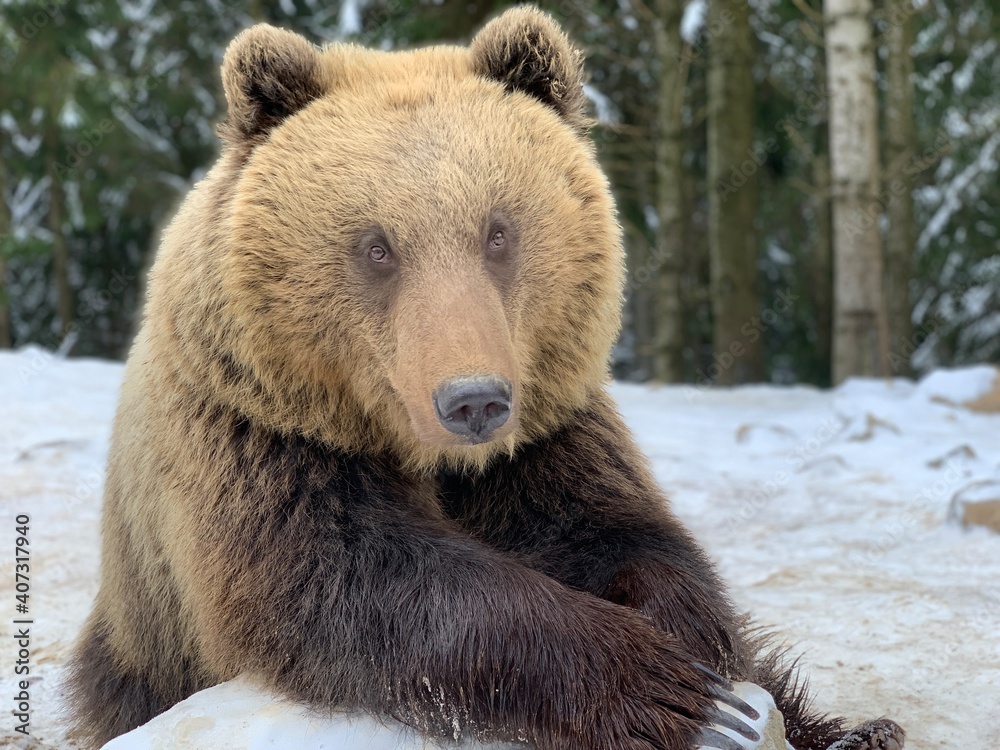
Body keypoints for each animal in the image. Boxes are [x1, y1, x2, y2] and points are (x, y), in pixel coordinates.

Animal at [68, 10, 908, 750]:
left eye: (498, 232)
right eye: (376, 246)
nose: (472, 399)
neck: (429, 455)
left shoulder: (544, 436)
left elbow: (616, 528)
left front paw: (690, 639)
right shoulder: (261, 441)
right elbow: (355, 579)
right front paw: (663, 689)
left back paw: (858, 732)